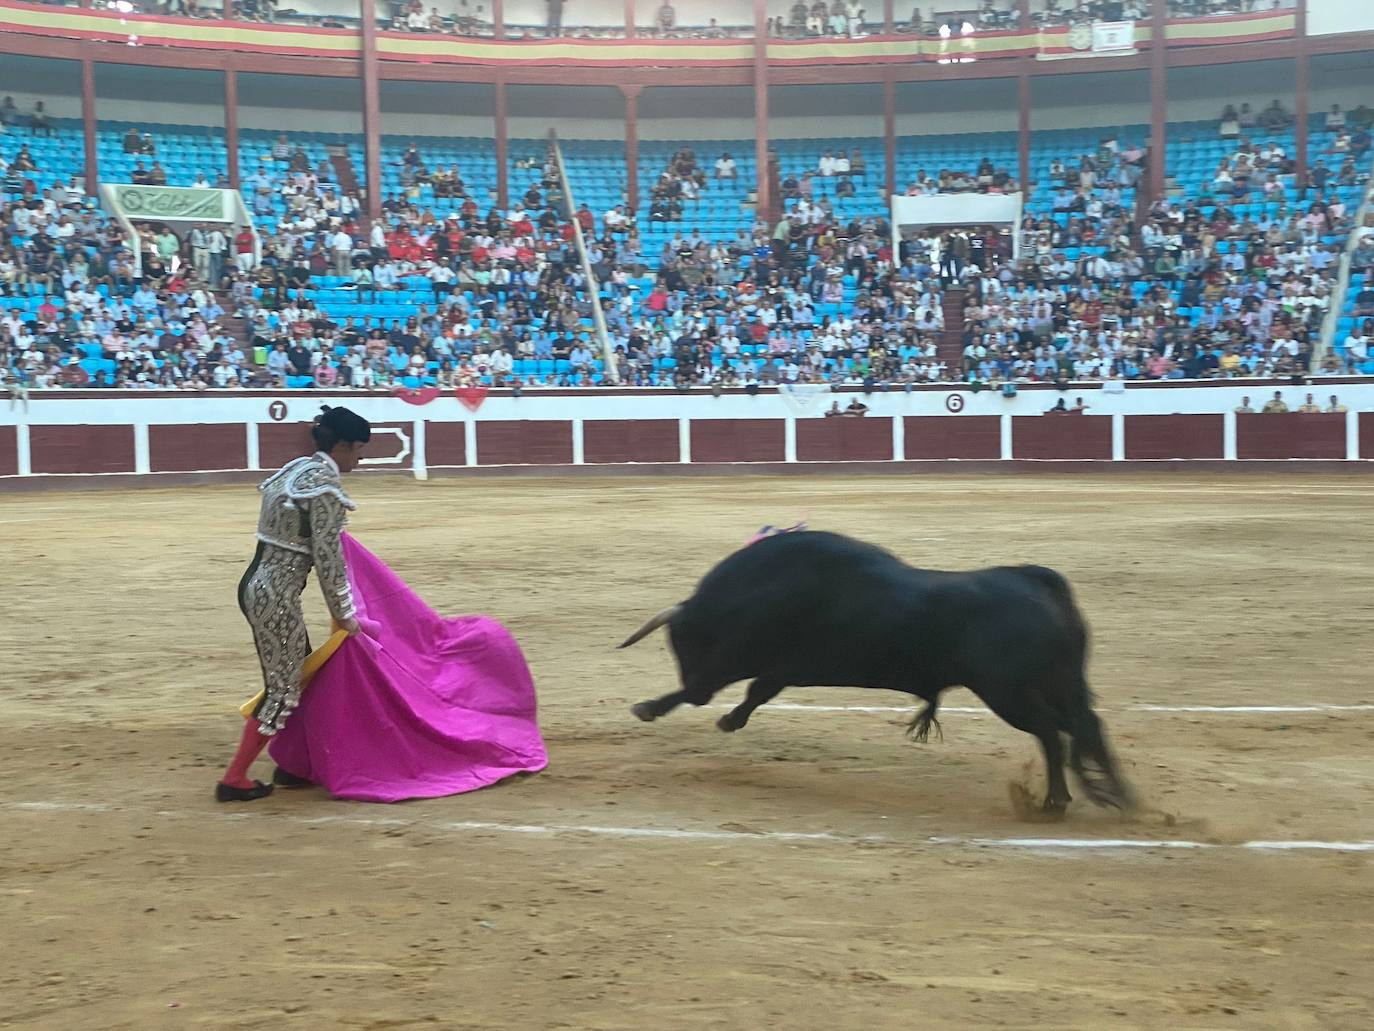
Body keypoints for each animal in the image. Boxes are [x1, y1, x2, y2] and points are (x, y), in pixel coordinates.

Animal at [621, 533, 1126, 813]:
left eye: (681, 641)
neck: (752, 588)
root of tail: (1037, 582)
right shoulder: (783, 668)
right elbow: (755, 692)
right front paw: (729, 719)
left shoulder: (739, 656)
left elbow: (703, 685)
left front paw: (649, 707)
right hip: (1055, 684)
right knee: (1084, 728)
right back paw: (1117, 796)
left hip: (1008, 693)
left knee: (1051, 733)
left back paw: (1058, 801)